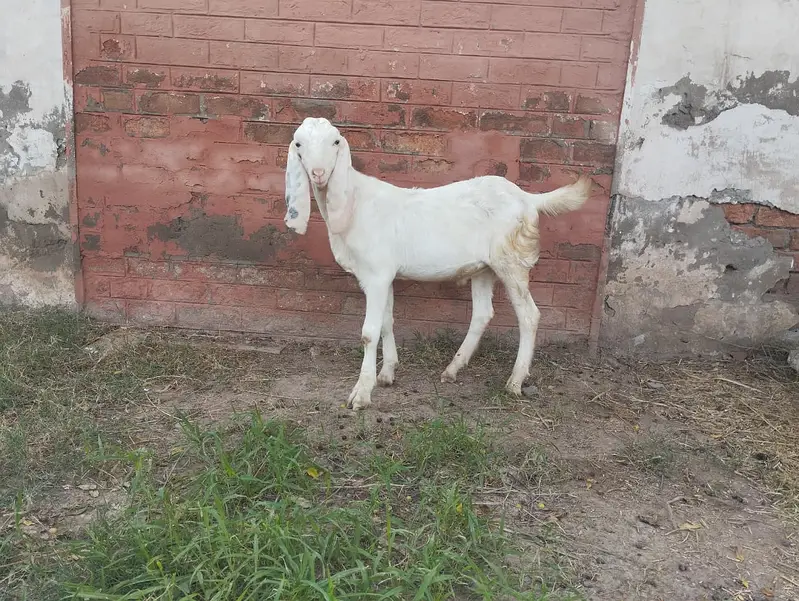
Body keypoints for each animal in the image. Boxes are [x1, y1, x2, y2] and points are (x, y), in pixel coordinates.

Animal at [284, 117, 592, 410]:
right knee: (483, 313)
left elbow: (369, 333)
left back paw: (514, 381)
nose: (319, 174)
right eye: (298, 144)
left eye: (335, 141)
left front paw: (361, 394)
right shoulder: (384, 275)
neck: (355, 203)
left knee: (529, 315)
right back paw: (453, 368)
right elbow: (387, 321)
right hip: (485, 268)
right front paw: (387, 373)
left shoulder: (376, 274)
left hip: (511, 260)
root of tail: (527, 198)